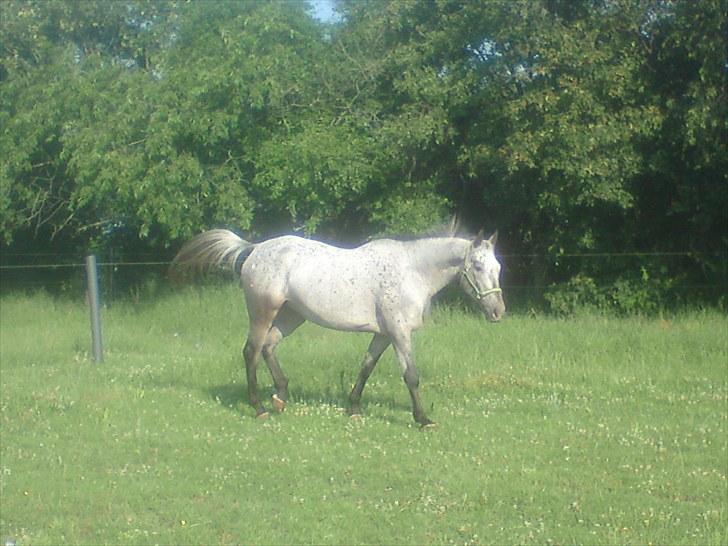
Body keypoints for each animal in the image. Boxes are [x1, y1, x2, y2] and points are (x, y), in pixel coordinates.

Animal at [173, 227, 504, 422]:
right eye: (477, 266)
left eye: (497, 267)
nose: (498, 311)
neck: (411, 271)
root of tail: (256, 249)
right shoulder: (399, 333)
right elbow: (411, 375)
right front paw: (422, 419)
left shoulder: (383, 335)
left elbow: (366, 367)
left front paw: (354, 408)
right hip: (263, 313)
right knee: (251, 352)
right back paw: (260, 408)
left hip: (292, 316)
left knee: (268, 348)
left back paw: (281, 397)